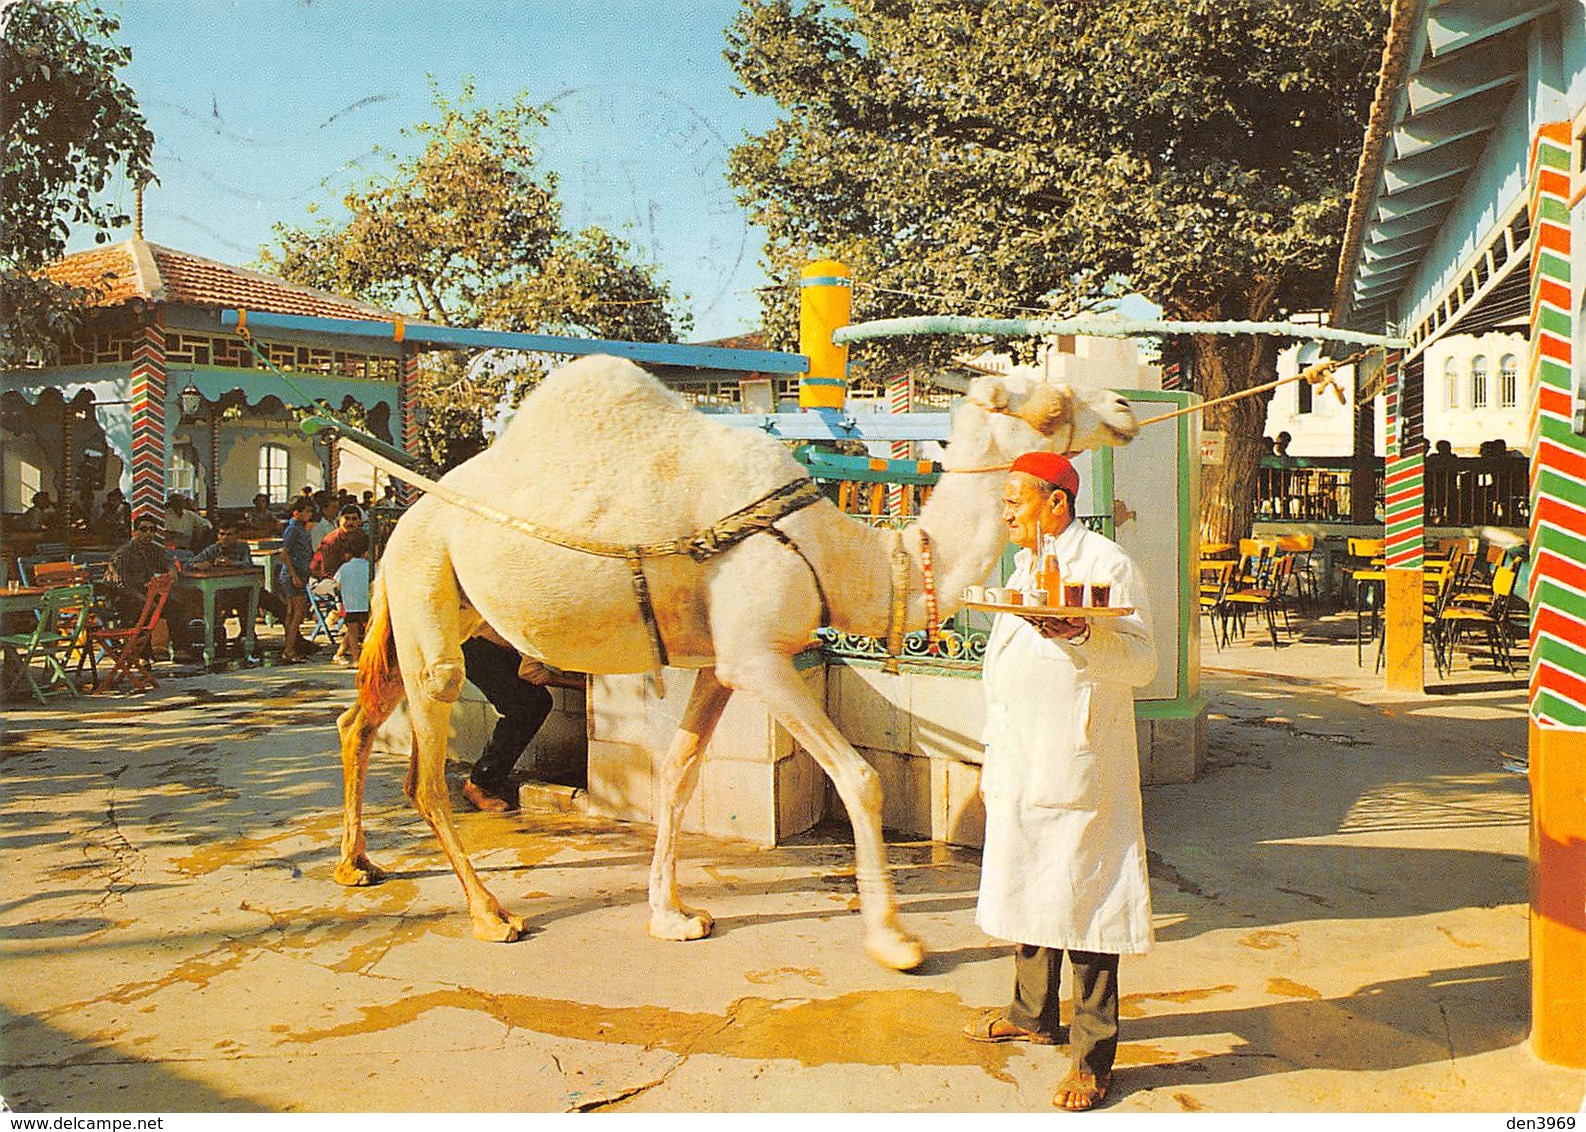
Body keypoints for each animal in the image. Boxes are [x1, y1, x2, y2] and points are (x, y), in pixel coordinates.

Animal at [334, 348, 1135, 963]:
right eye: (1051, 399)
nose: (1127, 405)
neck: (840, 552)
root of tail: (404, 519)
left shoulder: (719, 664)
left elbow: (679, 775)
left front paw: (673, 915)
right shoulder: (758, 656)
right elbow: (860, 778)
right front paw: (894, 941)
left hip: (428, 601)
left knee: (359, 720)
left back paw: (356, 864)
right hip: (427, 589)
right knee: (424, 772)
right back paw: (490, 913)